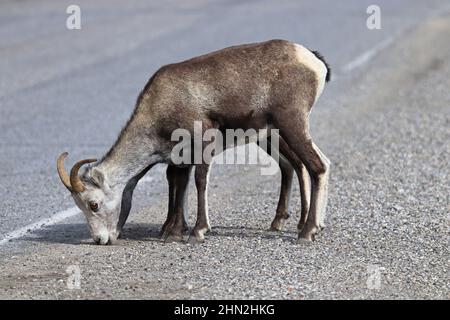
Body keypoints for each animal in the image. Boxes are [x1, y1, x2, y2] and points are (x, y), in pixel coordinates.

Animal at [56, 40, 330, 245]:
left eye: (93, 204)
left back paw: (307, 232)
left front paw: (197, 231)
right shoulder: (179, 157)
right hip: (274, 135)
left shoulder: (202, 146)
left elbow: (198, 181)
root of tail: (312, 60)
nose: (100, 239)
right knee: (299, 165)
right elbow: (178, 184)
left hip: (290, 126)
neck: (161, 104)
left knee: (317, 165)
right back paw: (303, 225)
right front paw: (174, 231)